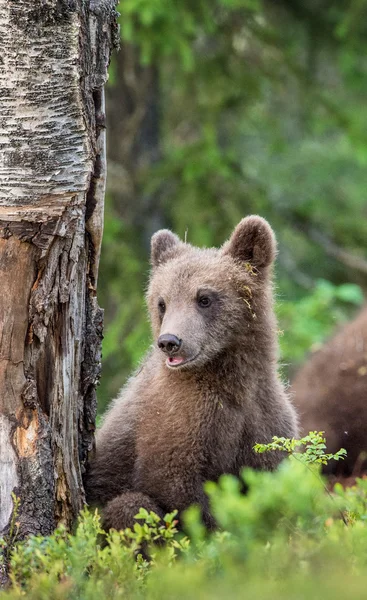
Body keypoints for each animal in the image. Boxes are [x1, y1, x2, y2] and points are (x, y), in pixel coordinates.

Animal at [86, 217, 300, 528]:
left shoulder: (263, 418)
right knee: (130, 506)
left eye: (204, 298)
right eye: (162, 302)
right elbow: (174, 484)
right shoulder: (177, 416)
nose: (169, 341)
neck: (229, 378)